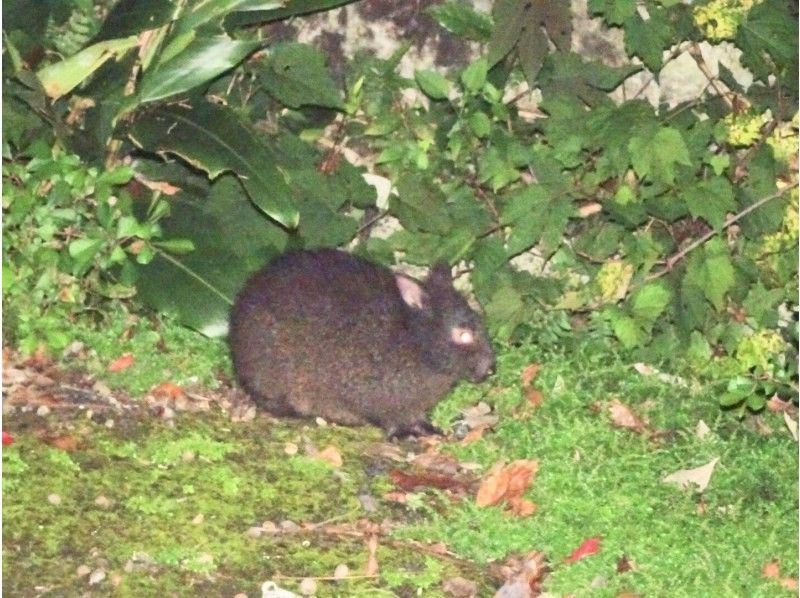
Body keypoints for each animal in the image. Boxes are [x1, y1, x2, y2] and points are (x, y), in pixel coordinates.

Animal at [228, 246, 494, 438]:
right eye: (462, 333)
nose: (490, 368)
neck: (415, 341)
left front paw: (430, 429)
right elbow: (392, 420)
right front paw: (406, 434)